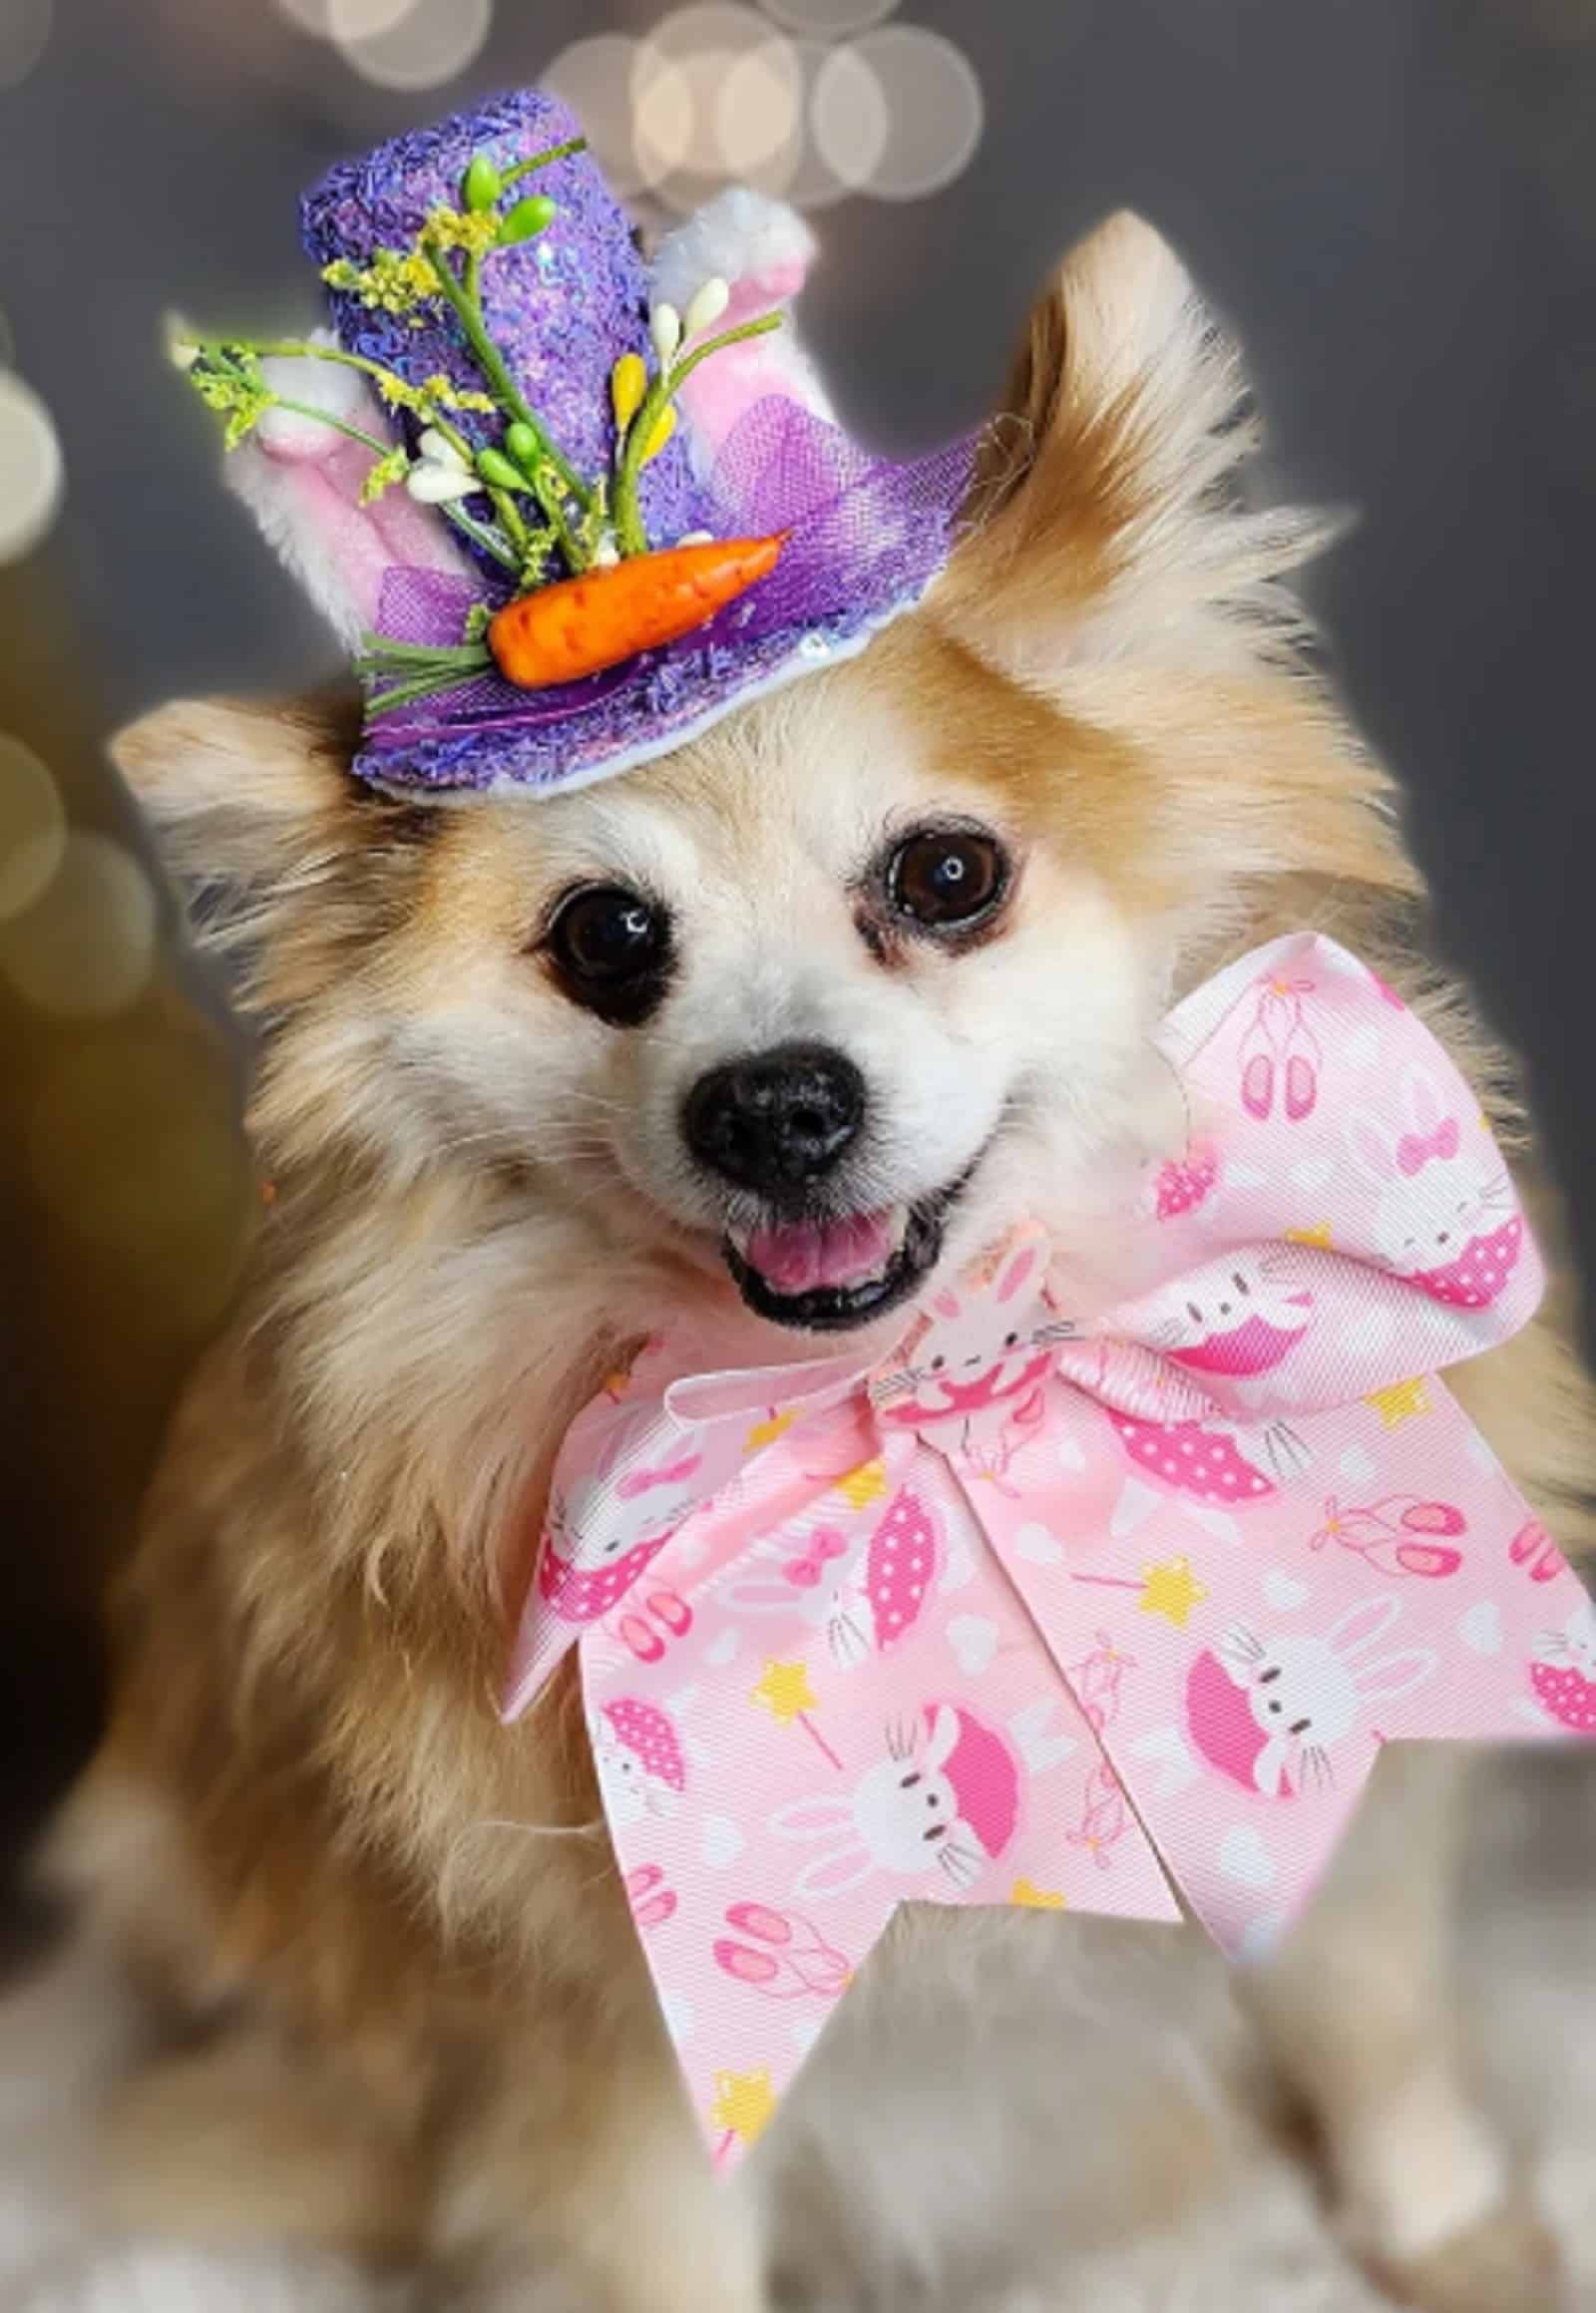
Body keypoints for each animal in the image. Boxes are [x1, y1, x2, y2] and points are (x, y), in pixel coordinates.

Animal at [34, 207, 1582, 2303]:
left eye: (948, 874)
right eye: (606, 938)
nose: (773, 1100)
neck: (925, 1406)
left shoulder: (1343, 1796)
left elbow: (1377, 2028)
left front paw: (1461, 2233)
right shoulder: (612, 2058)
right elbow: (658, 2246)